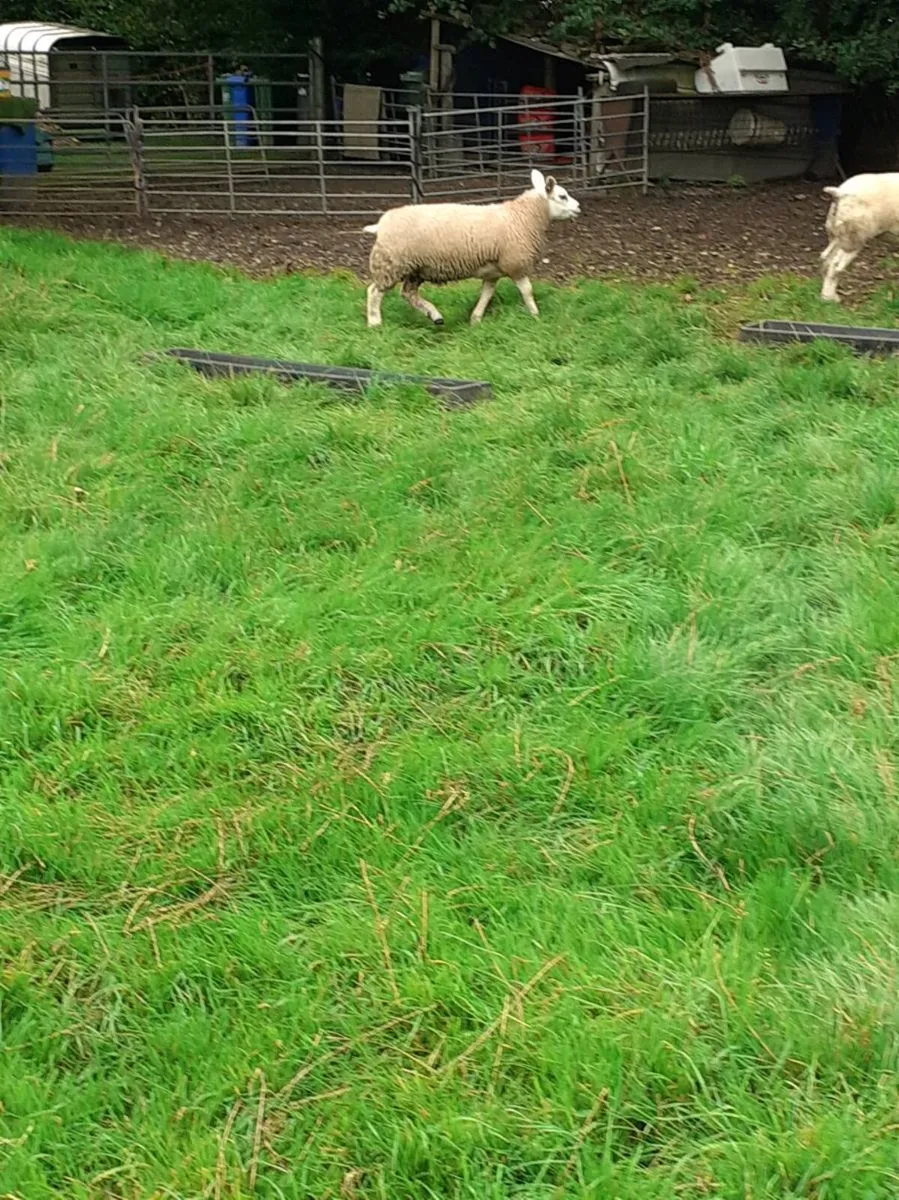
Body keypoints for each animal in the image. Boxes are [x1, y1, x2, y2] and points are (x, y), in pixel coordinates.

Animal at [362, 169, 581, 328]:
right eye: (562, 196)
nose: (578, 207)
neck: (522, 217)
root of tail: (380, 225)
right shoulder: (516, 264)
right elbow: (527, 291)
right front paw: (536, 316)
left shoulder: (493, 271)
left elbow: (487, 294)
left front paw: (475, 319)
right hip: (391, 263)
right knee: (374, 292)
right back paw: (375, 323)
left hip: (415, 268)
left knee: (408, 294)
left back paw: (435, 316)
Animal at [820, 172, 899, 302]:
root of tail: (840, 192)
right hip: (854, 236)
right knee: (835, 265)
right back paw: (828, 298)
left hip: (838, 235)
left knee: (827, 261)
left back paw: (828, 296)